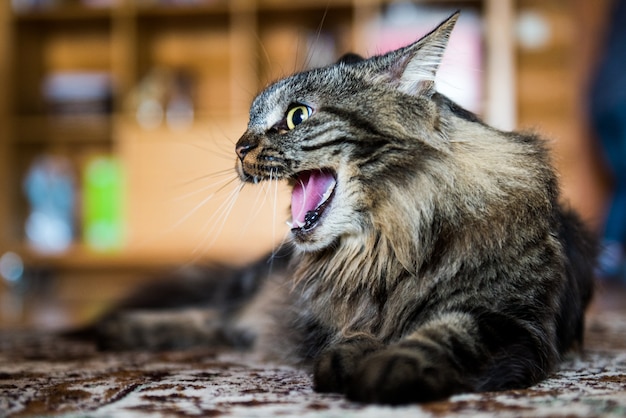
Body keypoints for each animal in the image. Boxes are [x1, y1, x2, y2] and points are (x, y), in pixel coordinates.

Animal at [92, 13, 596, 404]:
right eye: (248, 123)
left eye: (298, 115)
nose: (238, 147)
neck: (388, 242)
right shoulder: (344, 312)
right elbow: (357, 331)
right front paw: (348, 360)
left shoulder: (512, 321)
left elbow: (447, 334)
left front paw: (392, 369)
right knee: (211, 314)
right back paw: (112, 331)